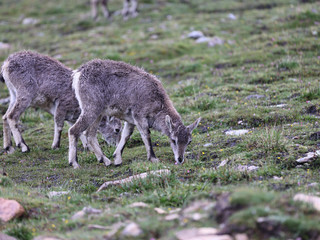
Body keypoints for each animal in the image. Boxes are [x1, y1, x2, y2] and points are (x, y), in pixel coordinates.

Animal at [69, 59, 201, 169]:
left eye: (189, 141)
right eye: (173, 140)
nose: (180, 159)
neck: (157, 101)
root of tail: (78, 73)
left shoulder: (130, 120)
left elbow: (126, 135)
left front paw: (117, 159)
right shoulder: (139, 116)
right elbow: (146, 135)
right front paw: (153, 158)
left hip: (99, 113)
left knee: (89, 134)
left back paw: (104, 160)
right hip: (91, 109)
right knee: (74, 130)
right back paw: (74, 163)